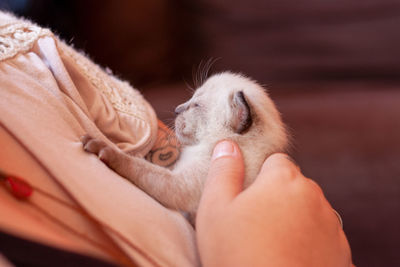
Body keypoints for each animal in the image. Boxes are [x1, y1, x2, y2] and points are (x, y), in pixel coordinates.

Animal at [82, 72, 288, 221]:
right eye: (191, 100)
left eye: (196, 105)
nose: (177, 109)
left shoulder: (180, 184)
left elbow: (137, 166)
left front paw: (103, 147)